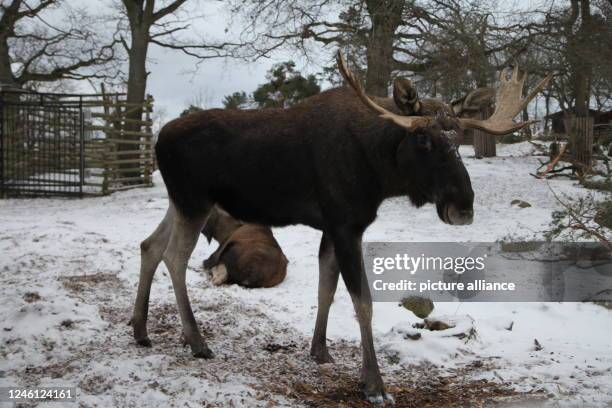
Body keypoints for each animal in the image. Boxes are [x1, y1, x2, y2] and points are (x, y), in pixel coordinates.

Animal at [131, 50, 552, 402]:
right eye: (422, 138)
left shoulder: (334, 227)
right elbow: (362, 302)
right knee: (174, 257)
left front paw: (320, 350)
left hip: (180, 202)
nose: (462, 206)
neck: (380, 172)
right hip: (194, 201)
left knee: (149, 245)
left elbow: (326, 290)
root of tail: (157, 139)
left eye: (458, 136)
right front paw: (374, 385)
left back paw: (140, 329)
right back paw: (196, 341)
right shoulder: (347, 224)